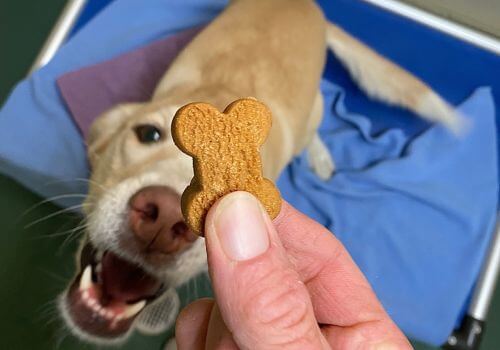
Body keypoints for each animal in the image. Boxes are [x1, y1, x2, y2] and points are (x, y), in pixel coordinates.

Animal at [57, 0, 460, 344]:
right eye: (147, 134)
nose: (163, 219)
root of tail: (307, 4)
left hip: (314, 109)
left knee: (313, 131)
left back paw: (320, 156)